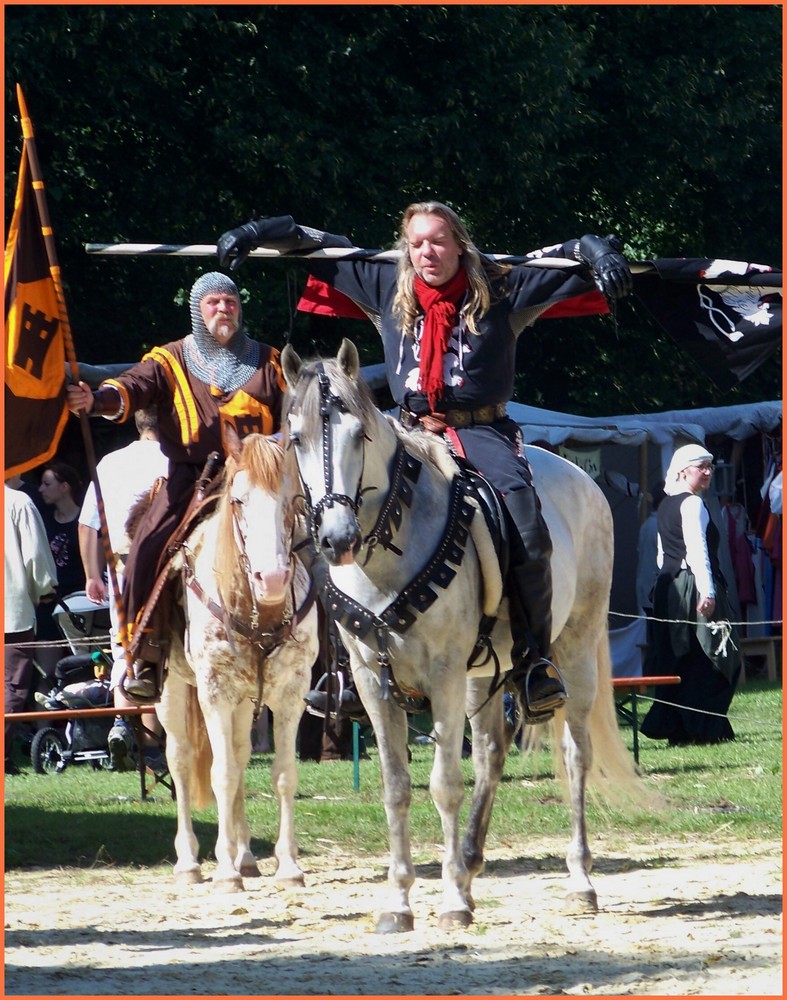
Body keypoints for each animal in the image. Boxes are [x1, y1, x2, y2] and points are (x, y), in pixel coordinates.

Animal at [157, 434, 320, 888]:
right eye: (238, 500)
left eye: (291, 500)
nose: (274, 579)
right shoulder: (214, 693)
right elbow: (222, 774)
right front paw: (225, 871)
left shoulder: (290, 694)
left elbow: (283, 774)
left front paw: (288, 866)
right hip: (170, 692)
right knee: (180, 760)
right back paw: (191, 863)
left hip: (247, 700)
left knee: (241, 753)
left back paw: (246, 855)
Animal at [280, 340, 644, 932]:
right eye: (296, 438)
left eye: (360, 433)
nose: (336, 539)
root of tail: (580, 476)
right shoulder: (374, 682)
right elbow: (397, 787)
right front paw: (400, 901)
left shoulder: (444, 676)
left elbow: (444, 785)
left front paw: (449, 900)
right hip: (484, 674)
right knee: (491, 754)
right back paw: (471, 864)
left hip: (574, 651)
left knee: (574, 756)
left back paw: (579, 880)